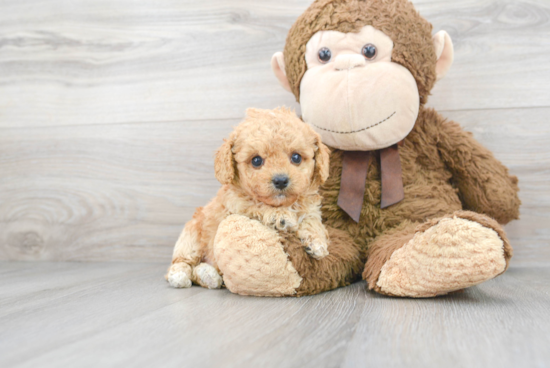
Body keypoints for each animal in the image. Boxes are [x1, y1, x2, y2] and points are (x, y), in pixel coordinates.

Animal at [167, 108, 332, 288]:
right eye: (256, 160)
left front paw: (317, 243)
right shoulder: (237, 205)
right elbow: (256, 205)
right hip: (191, 237)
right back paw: (181, 275)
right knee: (182, 262)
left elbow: (312, 220)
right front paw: (279, 216)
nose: (281, 180)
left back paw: (208, 275)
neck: (283, 204)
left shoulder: (311, 208)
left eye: (296, 158)